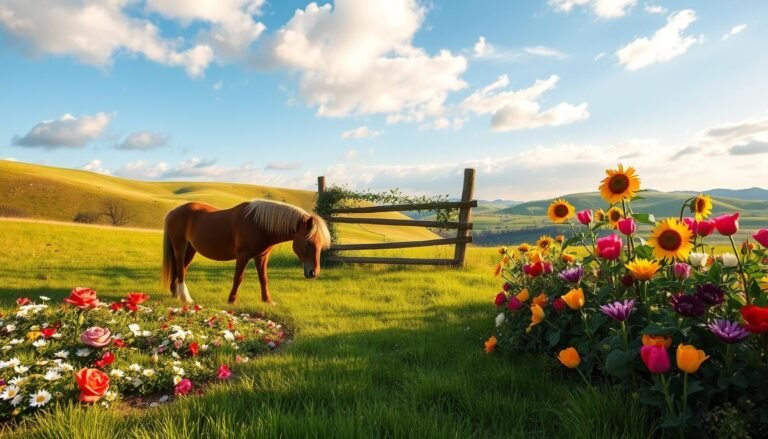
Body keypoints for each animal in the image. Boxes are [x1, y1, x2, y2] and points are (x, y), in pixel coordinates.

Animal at [161, 199, 332, 305]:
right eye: (309, 242)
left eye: (321, 245)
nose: (314, 273)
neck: (258, 223)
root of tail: (173, 211)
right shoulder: (243, 256)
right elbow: (239, 277)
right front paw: (232, 300)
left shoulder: (262, 257)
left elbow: (263, 279)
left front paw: (267, 301)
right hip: (180, 246)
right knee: (180, 270)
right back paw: (186, 299)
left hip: (191, 249)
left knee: (180, 269)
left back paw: (175, 294)